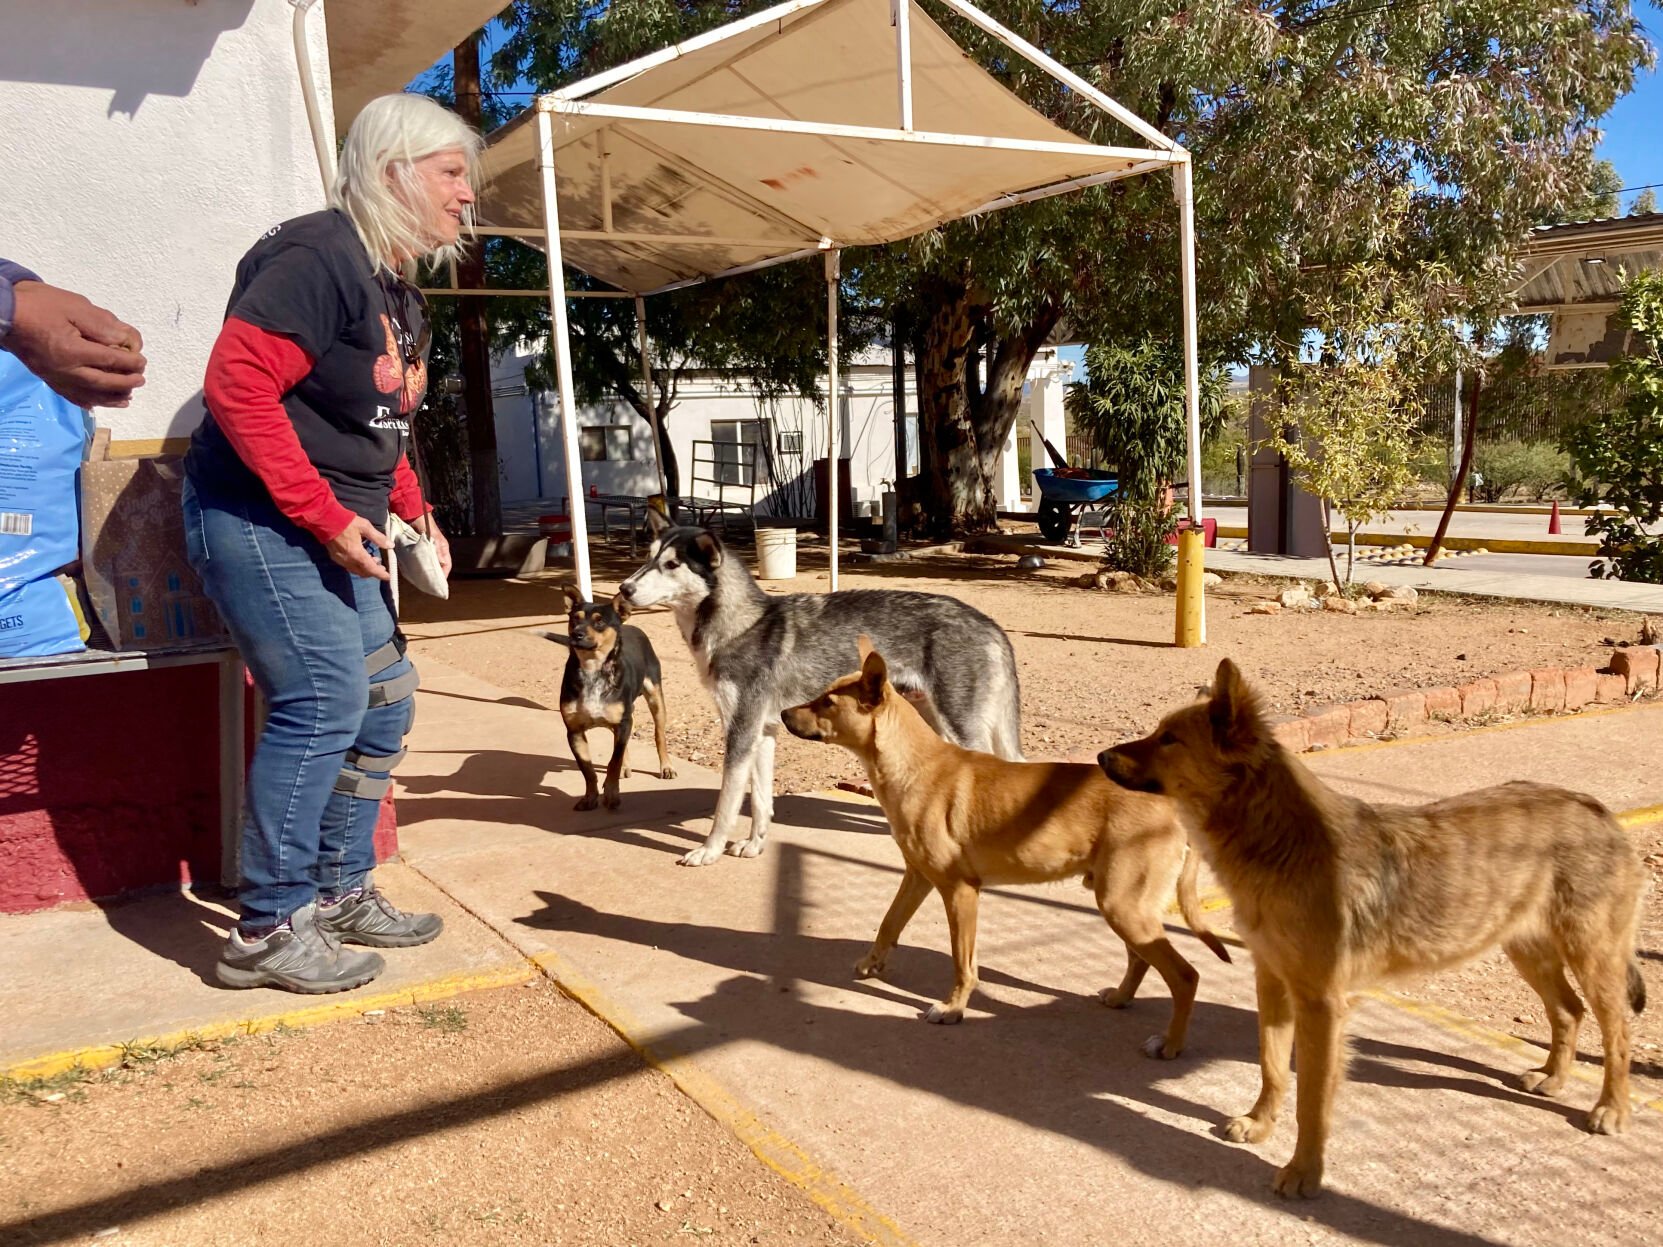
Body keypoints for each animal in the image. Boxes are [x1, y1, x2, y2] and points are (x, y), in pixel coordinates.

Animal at [545, 585, 675, 811]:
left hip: (655, 698)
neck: (592, 670)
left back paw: (665, 767)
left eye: (599, 621)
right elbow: (588, 769)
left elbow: (613, 762)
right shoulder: (574, 731)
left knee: (658, 735)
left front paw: (612, 794)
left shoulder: (622, 722)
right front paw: (589, 797)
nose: (576, 634)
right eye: (574, 619)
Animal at [621, 512, 1017, 864]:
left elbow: (726, 804)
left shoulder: (740, 733)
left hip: (960, 728)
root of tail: (990, 624)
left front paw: (709, 851)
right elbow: (760, 801)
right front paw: (754, 845)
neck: (743, 625)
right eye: (649, 557)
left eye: (672, 564)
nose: (624, 589)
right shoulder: (762, 732)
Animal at [774, 645, 1223, 1057]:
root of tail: (1172, 806)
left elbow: (963, 962)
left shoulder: (961, 891)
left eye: (827, 703)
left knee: (1185, 976)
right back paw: (1120, 998)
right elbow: (889, 924)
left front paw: (952, 1009)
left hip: (1122, 903)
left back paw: (1170, 1045)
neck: (912, 765)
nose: (781, 715)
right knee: (1141, 959)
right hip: (1123, 903)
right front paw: (872, 964)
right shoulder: (917, 877)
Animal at [1097, 665, 1643, 1203]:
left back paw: (1611, 1109)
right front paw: (1259, 1124)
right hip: (1527, 950)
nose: (1099, 757)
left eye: (1169, 739)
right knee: (1567, 1011)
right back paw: (1553, 1077)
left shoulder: (1321, 1006)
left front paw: (1304, 1172)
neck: (1280, 842)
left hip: (1591, 957)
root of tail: (1596, 809)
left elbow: (1311, 1099)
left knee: (1617, 1032)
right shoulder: (1272, 983)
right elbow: (1272, 1067)